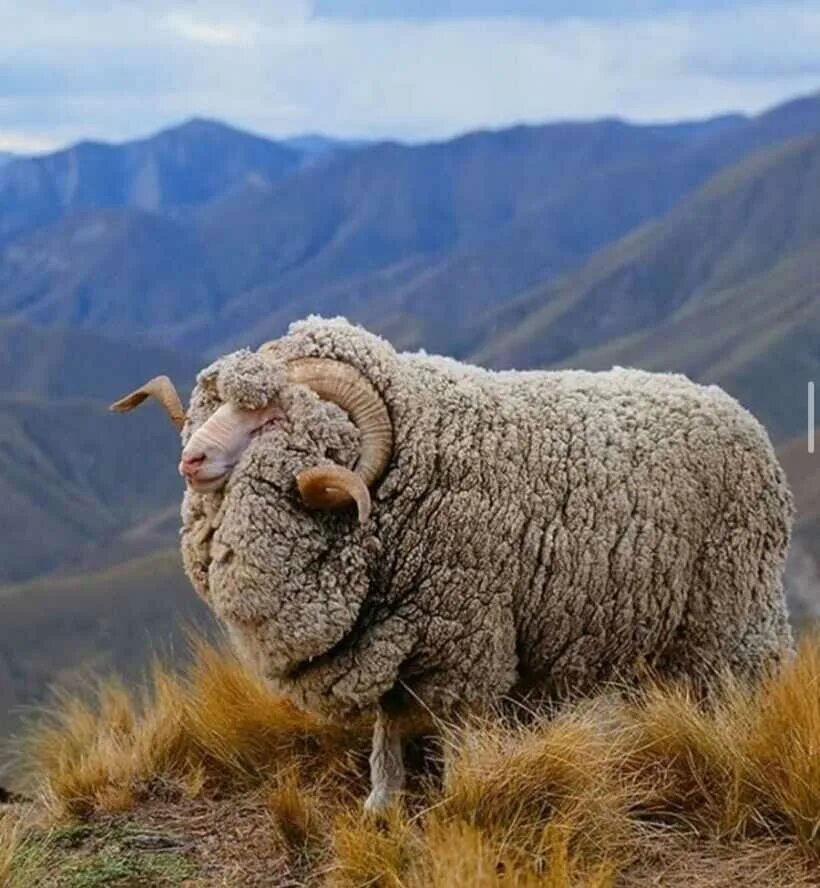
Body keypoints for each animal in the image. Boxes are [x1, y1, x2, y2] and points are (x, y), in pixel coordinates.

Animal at [110, 320, 796, 812]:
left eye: (273, 416)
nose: (191, 461)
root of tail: (735, 411)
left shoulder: (468, 639)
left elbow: (461, 734)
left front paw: (464, 793)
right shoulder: (390, 634)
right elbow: (387, 731)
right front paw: (380, 806)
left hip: (732, 611)